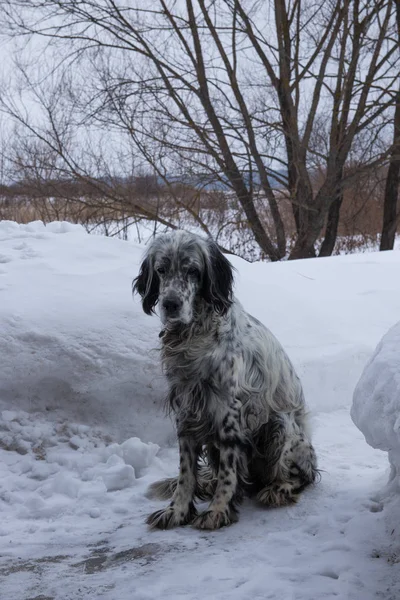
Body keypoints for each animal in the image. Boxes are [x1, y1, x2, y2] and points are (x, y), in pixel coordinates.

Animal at [133, 231, 318, 528]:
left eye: (193, 271)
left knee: (301, 475)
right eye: (161, 270)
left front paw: (217, 511)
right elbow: (186, 472)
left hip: (280, 426)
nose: (170, 304)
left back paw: (277, 489)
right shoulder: (187, 408)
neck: (194, 334)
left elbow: (229, 471)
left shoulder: (229, 410)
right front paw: (177, 511)